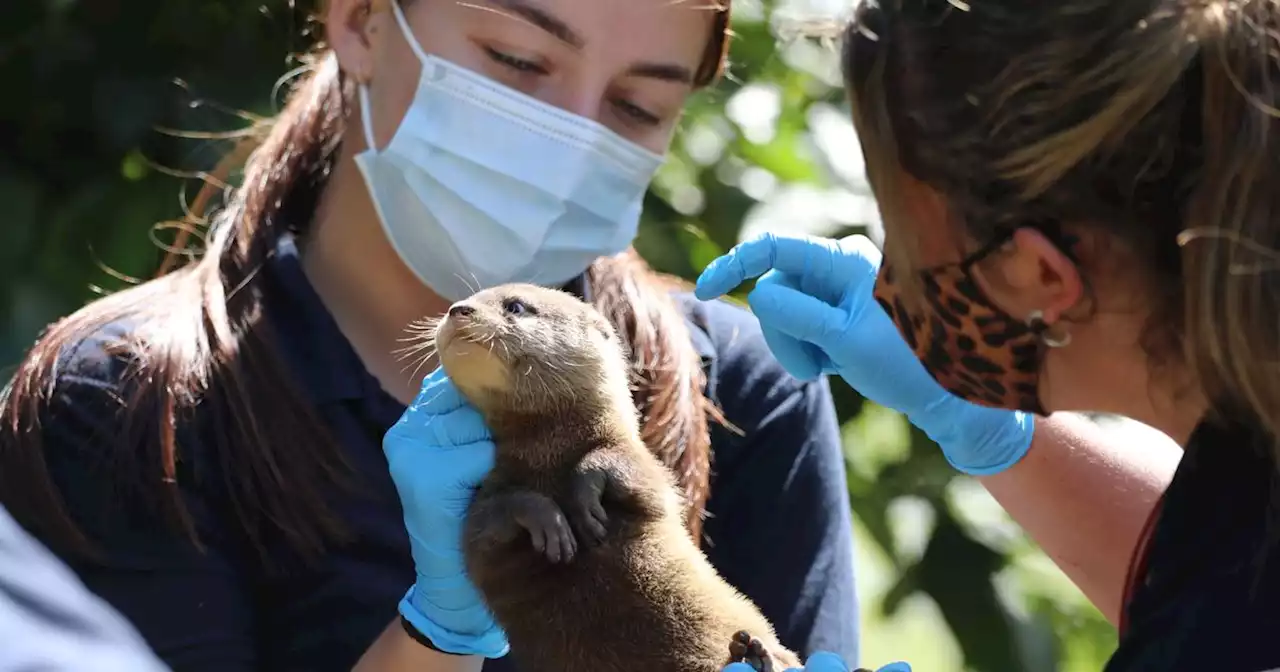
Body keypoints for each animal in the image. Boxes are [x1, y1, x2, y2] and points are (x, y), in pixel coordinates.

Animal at [435, 284, 803, 670]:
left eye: (516, 306)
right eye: (468, 299)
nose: (458, 309)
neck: (549, 453)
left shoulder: (645, 466)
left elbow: (630, 472)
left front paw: (586, 499)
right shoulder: (482, 507)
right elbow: (489, 523)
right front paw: (550, 522)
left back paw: (760, 654)